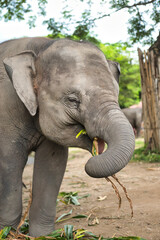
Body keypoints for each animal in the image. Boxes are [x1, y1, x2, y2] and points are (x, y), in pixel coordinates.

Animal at [0, 37, 135, 236]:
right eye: (72, 100)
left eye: (116, 94)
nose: (95, 154)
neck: (40, 48)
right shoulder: (5, 113)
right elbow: (10, 162)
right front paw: (7, 232)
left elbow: (53, 165)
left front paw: (43, 236)